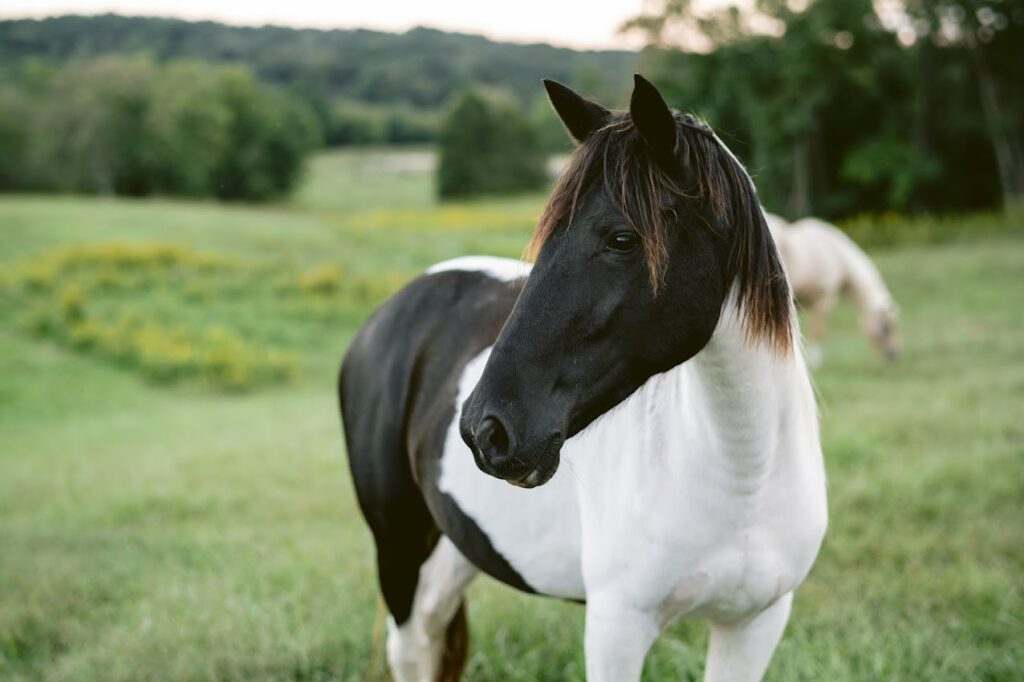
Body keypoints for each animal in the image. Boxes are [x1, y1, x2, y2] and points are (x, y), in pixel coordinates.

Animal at [339, 75, 828, 682]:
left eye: (621, 239)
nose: (484, 430)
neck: (743, 478)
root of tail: (387, 314)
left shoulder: (753, 626)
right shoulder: (617, 628)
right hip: (398, 547)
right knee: (409, 648)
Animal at [764, 213, 900, 368]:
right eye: (886, 328)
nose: (894, 355)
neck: (835, 254)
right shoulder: (823, 300)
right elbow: (817, 331)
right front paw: (814, 362)